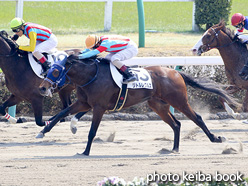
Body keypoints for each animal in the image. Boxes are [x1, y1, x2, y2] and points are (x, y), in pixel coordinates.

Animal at [36, 55, 238, 155]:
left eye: (55, 71)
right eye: (49, 69)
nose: (42, 87)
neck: (91, 76)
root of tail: (175, 72)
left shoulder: (99, 107)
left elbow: (92, 131)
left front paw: (85, 152)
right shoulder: (83, 103)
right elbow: (62, 113)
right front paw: (42, 131)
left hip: (179, 100)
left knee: (197, 118)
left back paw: (216, 138)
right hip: (158, 105)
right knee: (176, 124)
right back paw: (174, 149)